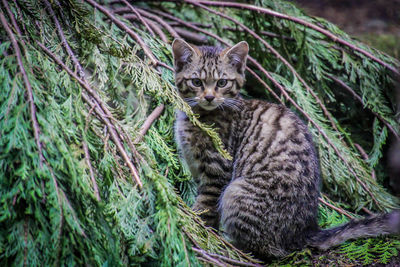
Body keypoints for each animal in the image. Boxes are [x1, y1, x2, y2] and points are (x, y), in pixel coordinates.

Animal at [172, 38, 400, 260]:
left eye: (222, 82)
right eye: (196, 82)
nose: (209, 97)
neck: (196, 116)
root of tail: (305, 231)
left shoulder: (218, 169)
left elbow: (206, 205)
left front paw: (199, 227)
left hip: (236, 192)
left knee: (267, 250)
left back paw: (234, 246)